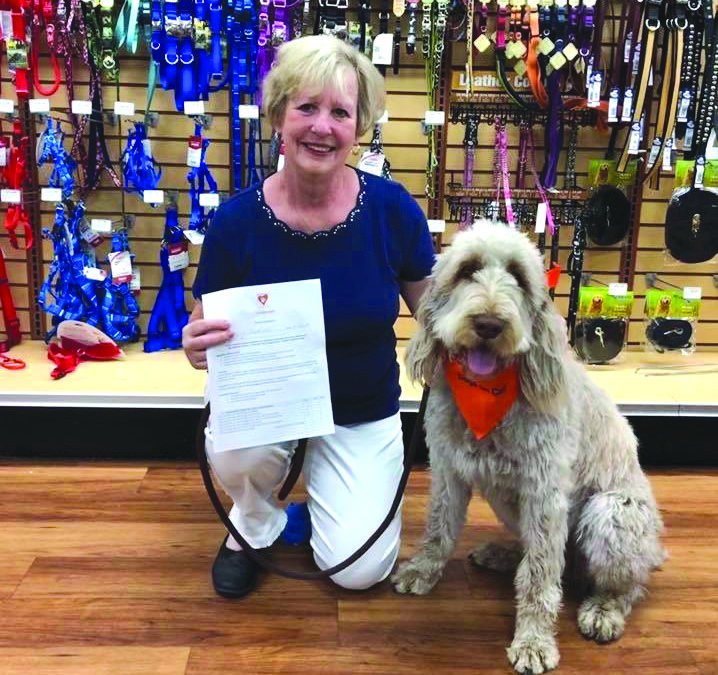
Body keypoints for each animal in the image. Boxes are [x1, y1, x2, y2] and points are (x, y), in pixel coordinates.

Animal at [396, 220, 668, 672]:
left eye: (519, 277)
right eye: (467, 270)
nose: (489, 324)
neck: (489, 395)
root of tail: (653, 549)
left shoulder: (545, 494)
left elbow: (539, 575)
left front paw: (534, 640)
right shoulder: (448, 470)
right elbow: (439, 526)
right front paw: (423, 569)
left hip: (612, 513)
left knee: (625, 584)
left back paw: (604, 609)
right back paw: (503, 554)